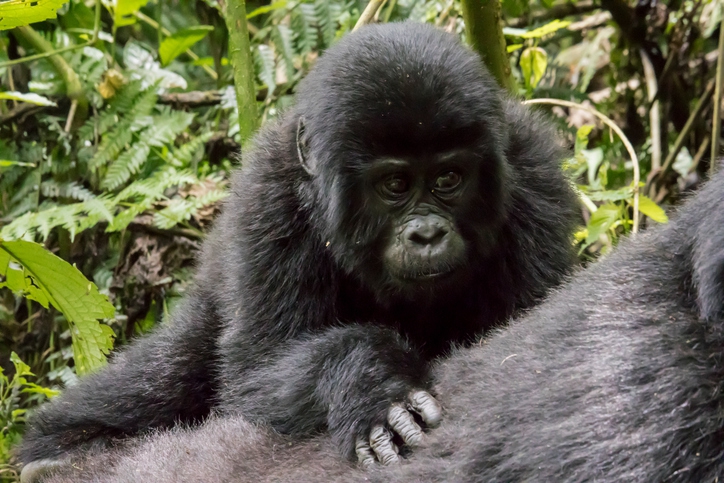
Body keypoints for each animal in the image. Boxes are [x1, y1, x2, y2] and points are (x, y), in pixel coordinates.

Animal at [19, 22, 580, 472]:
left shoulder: (534, 181)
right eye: (394, 185)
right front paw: (368, 381)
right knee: (164, 373)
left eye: (449, 178)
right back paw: (59, 449)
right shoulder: (269, 203)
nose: (426, 234)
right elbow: (254, 378)